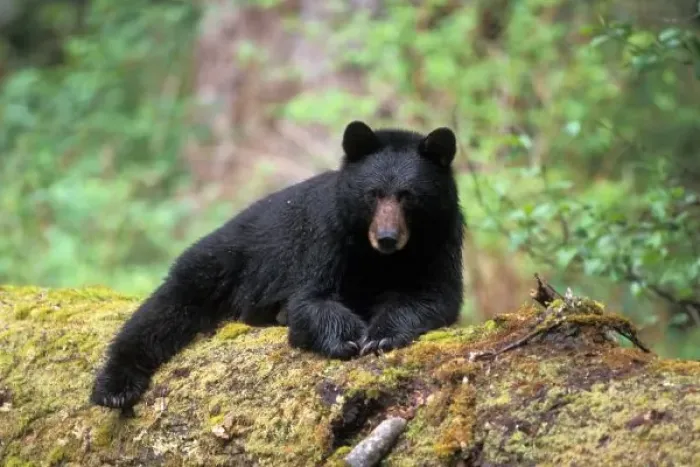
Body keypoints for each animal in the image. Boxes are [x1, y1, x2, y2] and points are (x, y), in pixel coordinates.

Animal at [90, 120, 465, 410]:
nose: (387, 237)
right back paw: (114, 387)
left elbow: (433, 295)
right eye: (373, 193)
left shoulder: (441, 241)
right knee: (163, 311)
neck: (380, 258)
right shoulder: (325, 237)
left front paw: (382, 335)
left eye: (408, 195)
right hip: (219, 263)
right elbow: (311, 298)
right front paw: (346, 338)